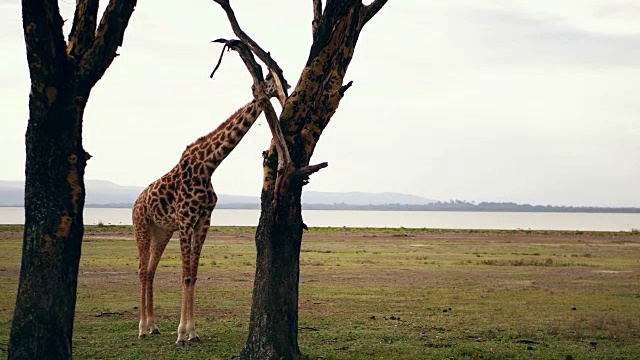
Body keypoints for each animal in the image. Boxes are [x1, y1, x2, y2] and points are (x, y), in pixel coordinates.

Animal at [132, 74, 288, 346]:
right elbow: (185, 276)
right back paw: (141, 329)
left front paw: (192, 333)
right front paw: (181, 335)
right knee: (142, 271)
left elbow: (193, 276)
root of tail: (136, 203)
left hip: (161, 232)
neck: (208, 166)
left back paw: (153, 326)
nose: (286, 89)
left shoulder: (203, 221)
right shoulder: (186, 221)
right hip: (141, 227)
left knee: (150, 271)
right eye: (272, 81)